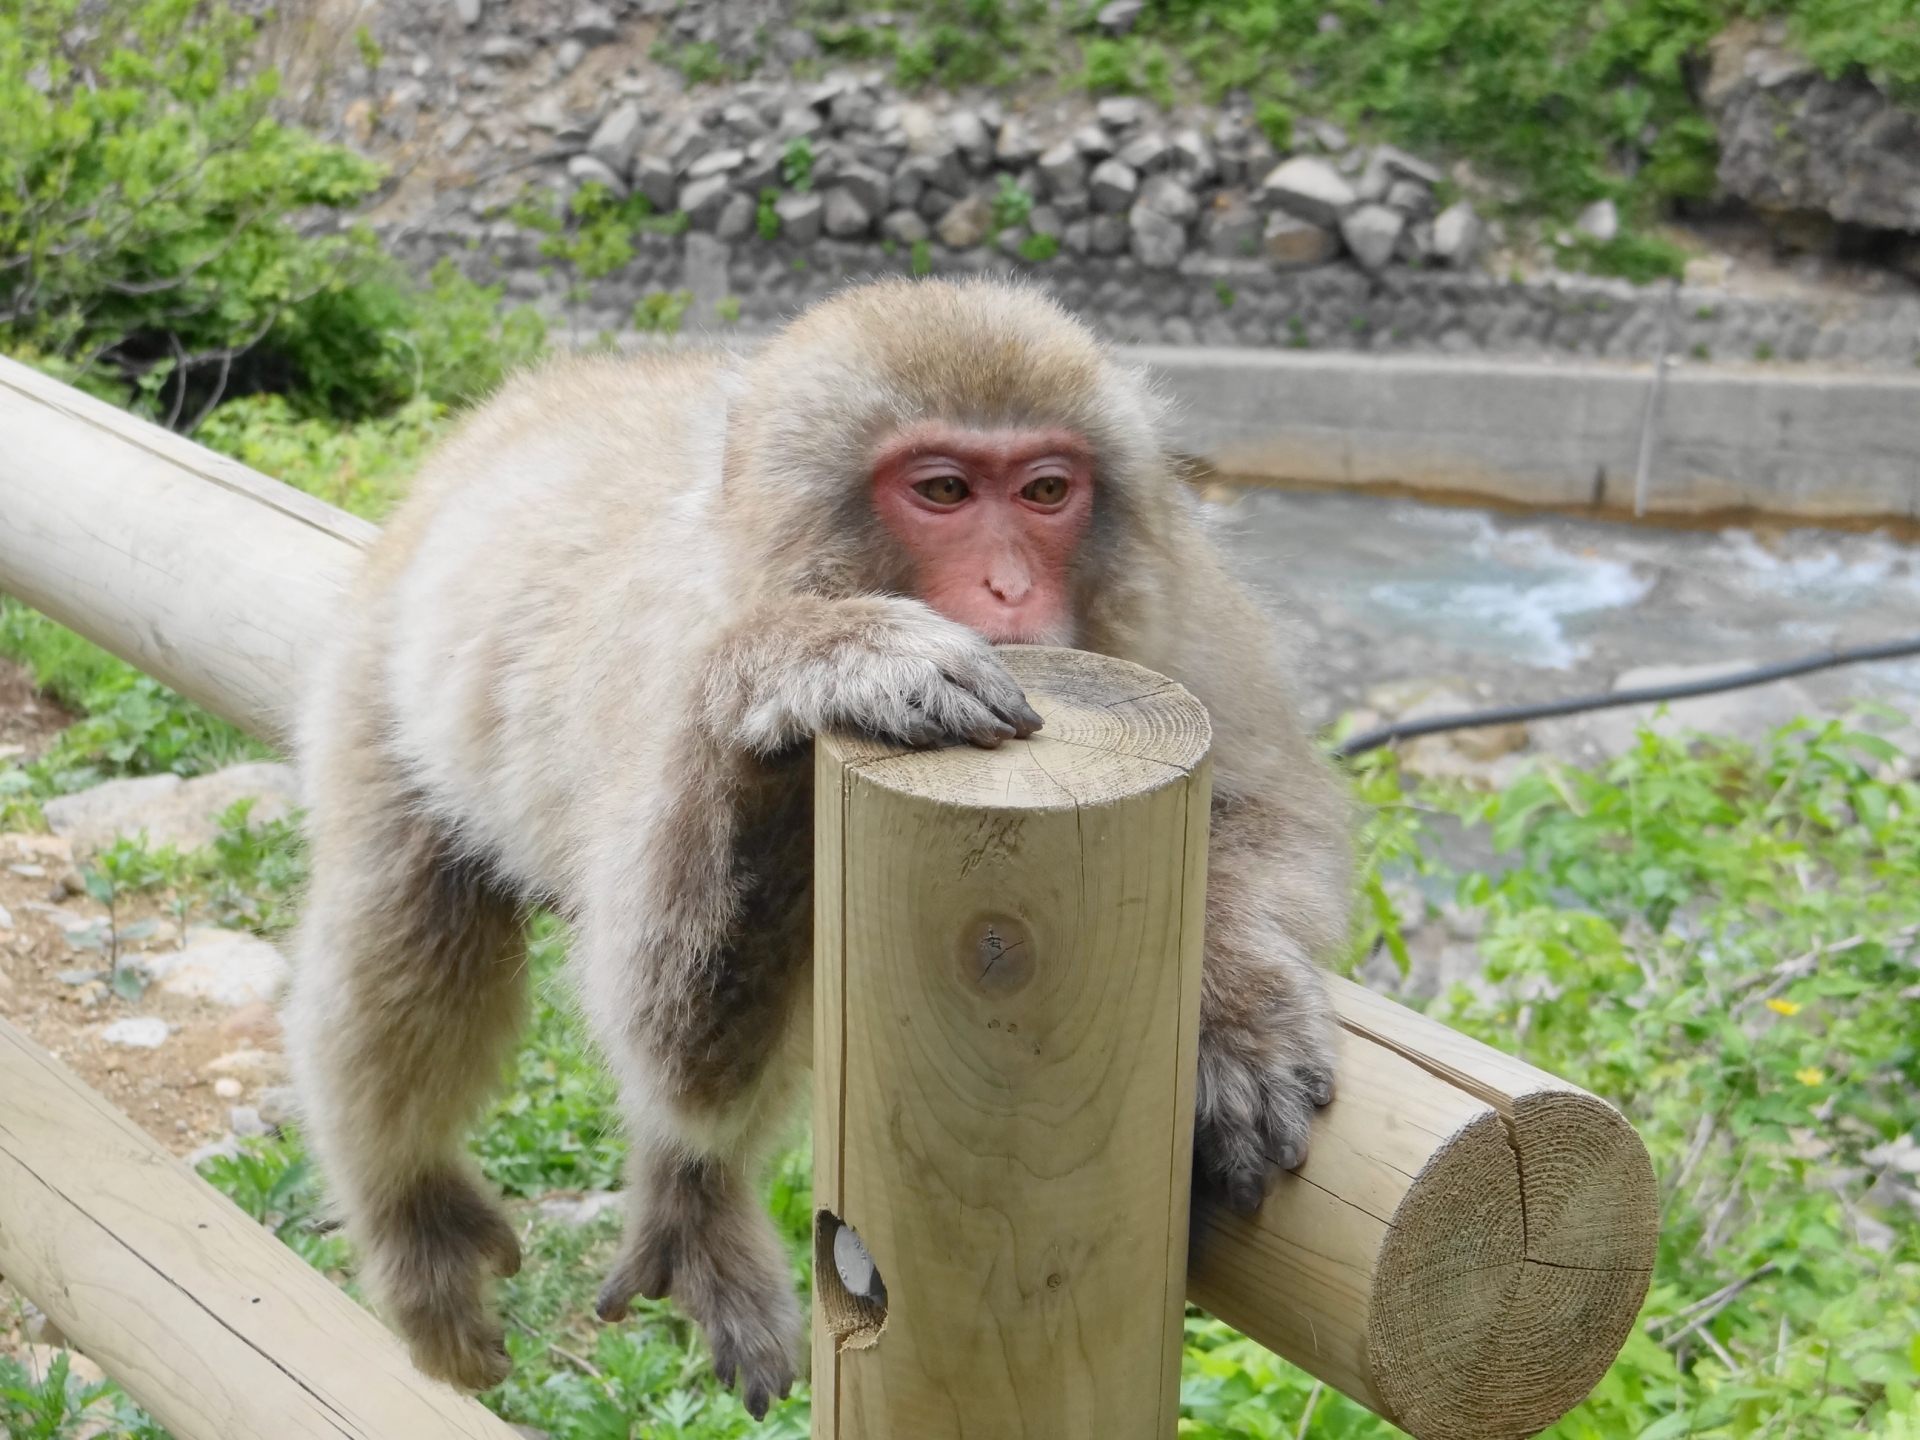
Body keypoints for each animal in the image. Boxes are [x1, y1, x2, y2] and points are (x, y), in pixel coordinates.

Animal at [284, 277, 1350, 1419]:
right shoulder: (658, 666)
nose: (1011, 590)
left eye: (1046, 490)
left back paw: (690, 1203)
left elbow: (1268, 817)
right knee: (403, 928)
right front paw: (823, 659)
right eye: (943, 490)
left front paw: (1238, 1023)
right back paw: (408, 1213)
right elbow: (660, 1032)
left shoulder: (1183, 621)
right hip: (377, 676)